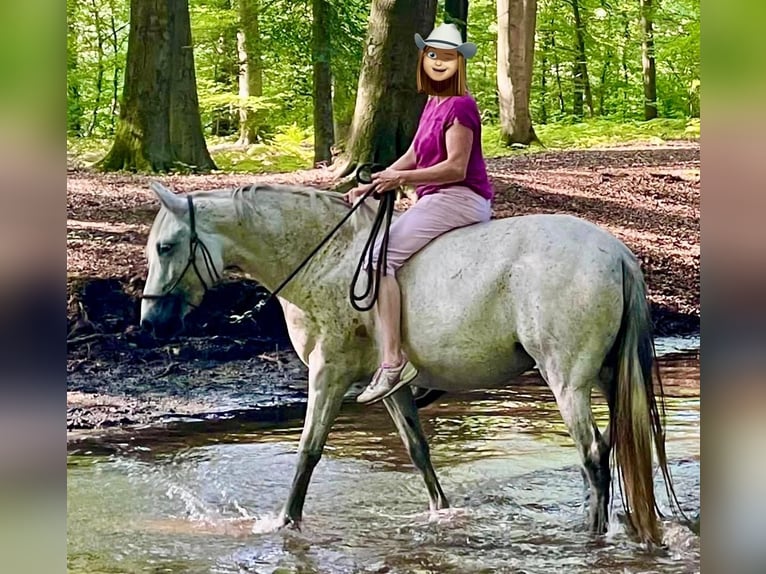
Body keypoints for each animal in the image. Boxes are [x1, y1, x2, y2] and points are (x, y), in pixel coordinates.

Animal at [142, 182, 680, 548]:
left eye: (166, 247)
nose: (149, 322)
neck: (328, 259)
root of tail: (615, 252)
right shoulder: (392, 387)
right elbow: (419, 451)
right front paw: (441, 514)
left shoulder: (328, 374)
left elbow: (308, 453)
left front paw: (285, 523)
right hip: (607, 378)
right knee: (609, 450)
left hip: (567, 380)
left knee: (592, 455)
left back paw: (590, 536)